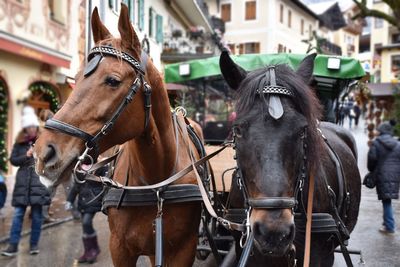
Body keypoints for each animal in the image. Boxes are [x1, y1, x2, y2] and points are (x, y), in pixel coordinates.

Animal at [33, 4, 203, 267]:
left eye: (112, 80)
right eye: (77, 77)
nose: (43, 153)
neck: (154, 183)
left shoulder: (184, 250)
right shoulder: (120, 248)